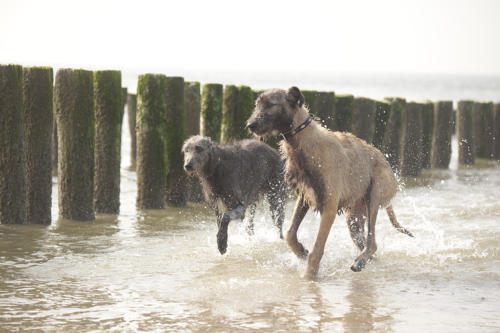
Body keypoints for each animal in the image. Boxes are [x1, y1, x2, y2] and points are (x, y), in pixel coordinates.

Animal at [246, 86, 414, 278]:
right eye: (257, 104)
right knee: (367, 245)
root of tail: (389, 167)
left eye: (270, 104)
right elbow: (290, 233)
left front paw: (309, 277)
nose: (250, 125)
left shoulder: (330, 207)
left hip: (374, 196)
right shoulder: (305, 196)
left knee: (372, 243)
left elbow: (317, 249)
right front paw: (301, 251)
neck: (304, 140)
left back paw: (360, 262)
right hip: (354, 218)